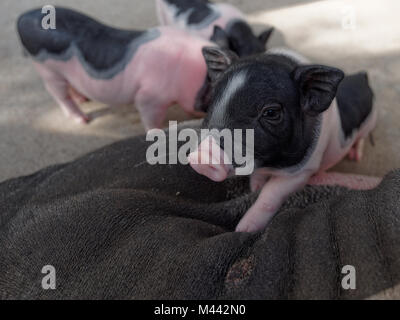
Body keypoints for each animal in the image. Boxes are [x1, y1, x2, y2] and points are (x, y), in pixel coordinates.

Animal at [17, 7, 214, 129]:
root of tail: (22, 18)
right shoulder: (150, 96)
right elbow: (149, 117)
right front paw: (155, 132)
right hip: (48, 70)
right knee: (59, 94)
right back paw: (83, 120)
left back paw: (84, 99)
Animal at [188, 47, 378, 232]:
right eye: (212, 102)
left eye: (271, 112)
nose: (202, 157)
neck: (270, 165)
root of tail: (362, 76)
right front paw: (255, 187)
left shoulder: (303, 171)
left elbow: (269, 196)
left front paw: (244, 229)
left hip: (369, 123)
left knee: (361, 139)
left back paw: (355, 156)